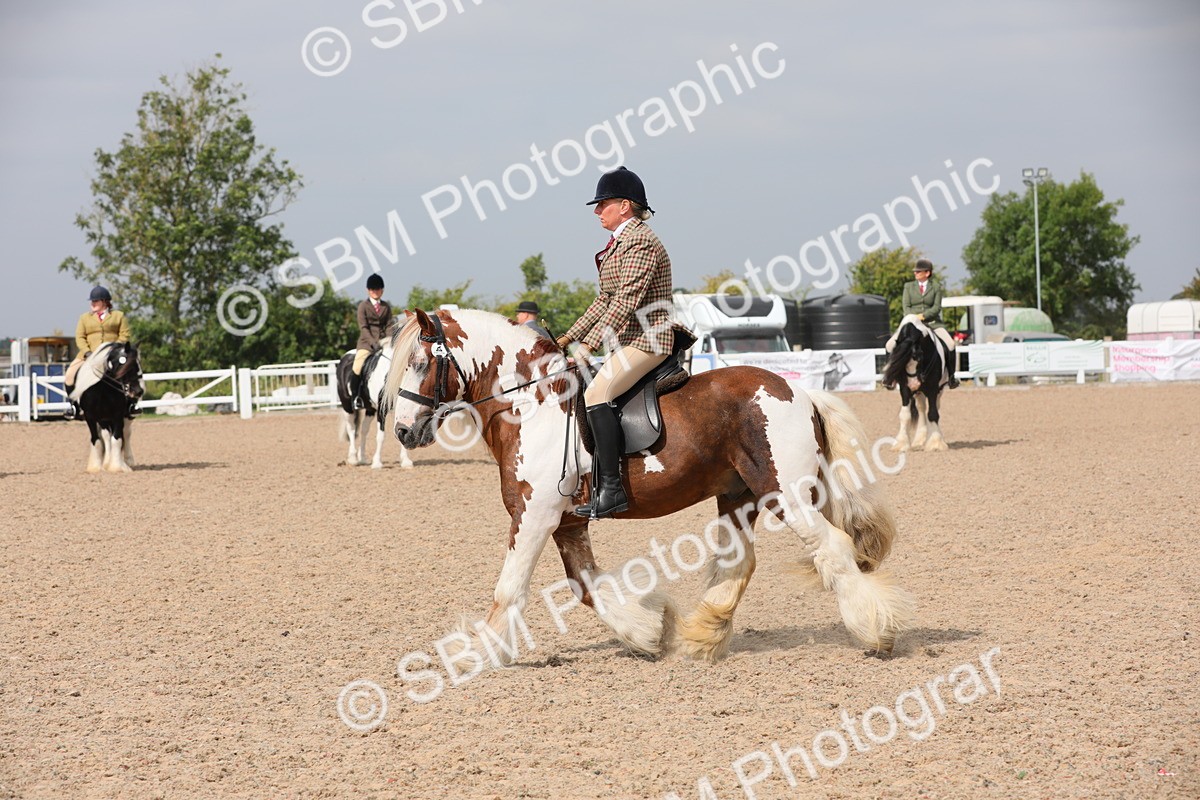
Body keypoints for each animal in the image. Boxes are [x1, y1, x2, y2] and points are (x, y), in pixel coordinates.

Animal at [72, 342, 144, 473]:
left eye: (139, 364)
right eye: (129, 365)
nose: (138, 391)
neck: (102, 390)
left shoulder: (118, 416)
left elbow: (117, 439)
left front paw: (117, 466)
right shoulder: (90, 417)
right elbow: (96, 440)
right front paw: (96, 467)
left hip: (125, 418)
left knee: (126, 433)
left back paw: (128, 461)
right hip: (103, 420)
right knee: (106, 436)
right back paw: (106, 462)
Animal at [379, 308, 915, 665]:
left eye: (420, 363)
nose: (403, 431)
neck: (531, 404)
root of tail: (799, 391)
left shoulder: (532, 516)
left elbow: (509, 588)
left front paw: (478, 654)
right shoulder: (566, 523)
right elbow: (587, 587)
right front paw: (649, 632)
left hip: (786, 495)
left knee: (835, 548)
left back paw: (875, 632)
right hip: (738, 497)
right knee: (739, 562)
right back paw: (702, 634)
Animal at [881, 315, 951, 452]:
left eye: (920, 356)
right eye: (898, 357)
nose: (914, 384)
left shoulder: (933, 389)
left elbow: (933, 414)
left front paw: (936, 443)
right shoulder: (904, 389)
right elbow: (905, 415)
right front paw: (901, 444)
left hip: (939, 389)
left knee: (934, 408)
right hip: (919, 393)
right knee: (922, 409)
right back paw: (920, 440)